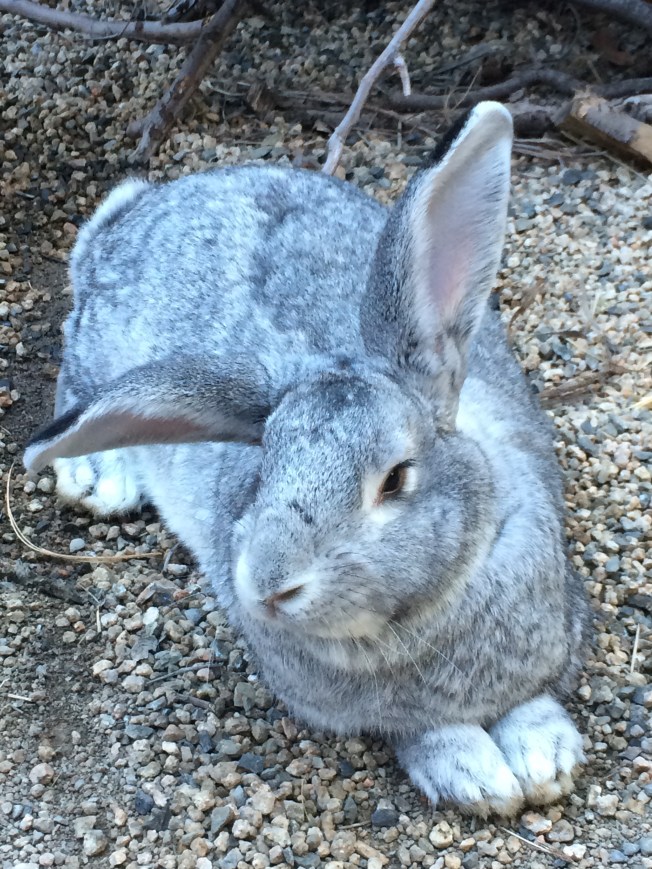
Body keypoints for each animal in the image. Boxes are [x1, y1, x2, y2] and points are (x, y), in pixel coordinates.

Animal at [25, 102, 590, 816]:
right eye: (264, 468)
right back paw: (98, 477)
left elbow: (533, 700)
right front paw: (478, 776)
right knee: (74, 372)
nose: (269, 586)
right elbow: (425, 733)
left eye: (396, 478)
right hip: (103, 352)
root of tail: (140, 208)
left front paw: (545, 760)